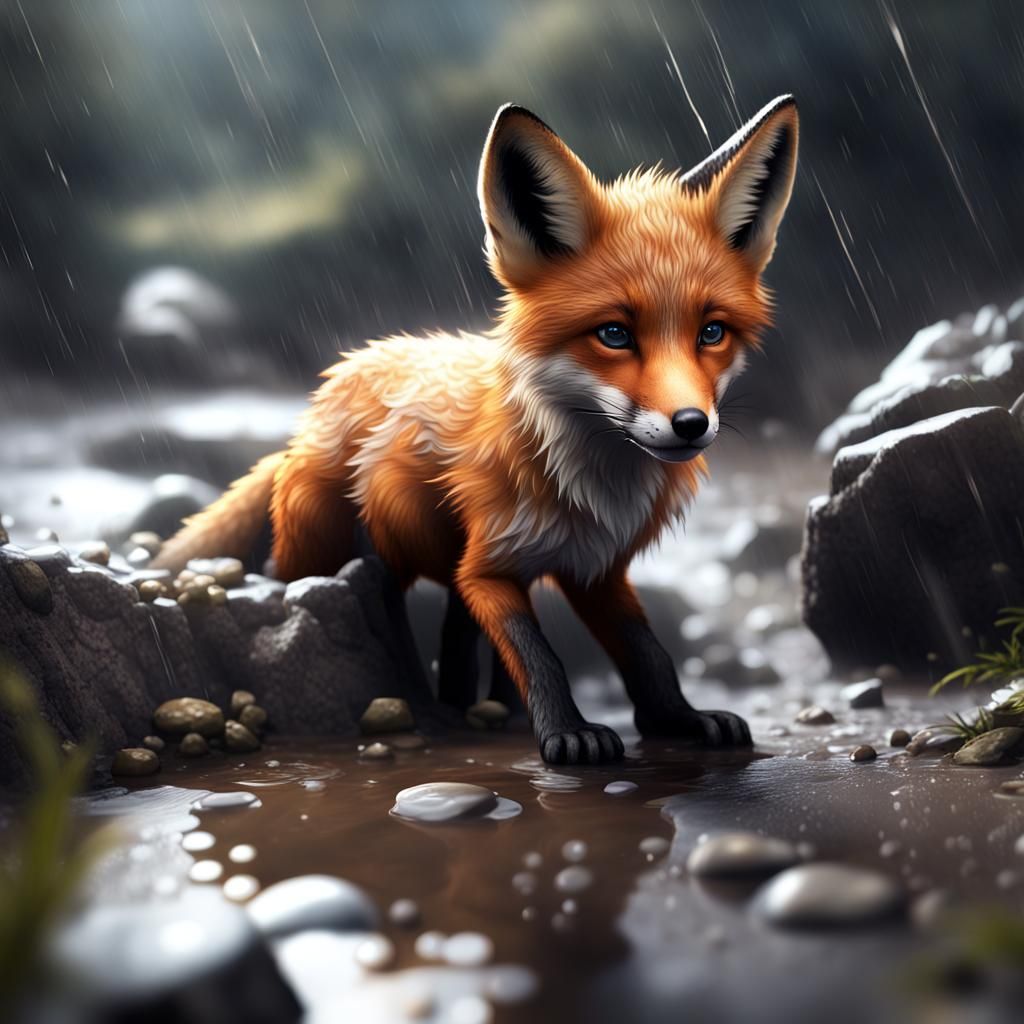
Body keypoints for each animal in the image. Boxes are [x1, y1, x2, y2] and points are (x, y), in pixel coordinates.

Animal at [154, 96, 799, 765]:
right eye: (614, 334)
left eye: (711, 332)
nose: (691, 425)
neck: (590, 486)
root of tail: (327, 390)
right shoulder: (488, 570)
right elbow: (540, 656)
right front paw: (567, 734)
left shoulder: (595, 571)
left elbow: (648, 653)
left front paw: (679, 719)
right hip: (332, 553)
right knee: (335, 597)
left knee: (455, 638)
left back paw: (476, 710)